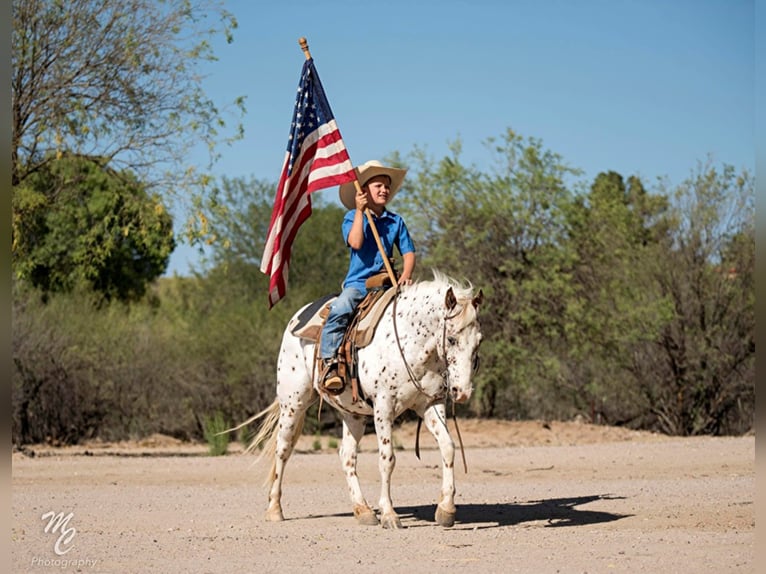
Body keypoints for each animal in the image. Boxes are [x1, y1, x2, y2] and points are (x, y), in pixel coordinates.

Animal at [242, 272, 480, 532]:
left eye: (478, 341)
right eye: (452, 339)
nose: (462, 392)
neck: (409, 343)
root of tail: (295, 319)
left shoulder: (430, 404)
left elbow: (448, 447)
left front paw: (446, 509)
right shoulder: (383, 407)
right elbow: (387, 459)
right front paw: (389, 514)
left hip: (352, 414)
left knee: (346, 455)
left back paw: (363, 510)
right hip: (293, 403)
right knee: (282, 450)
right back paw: (275, 509)